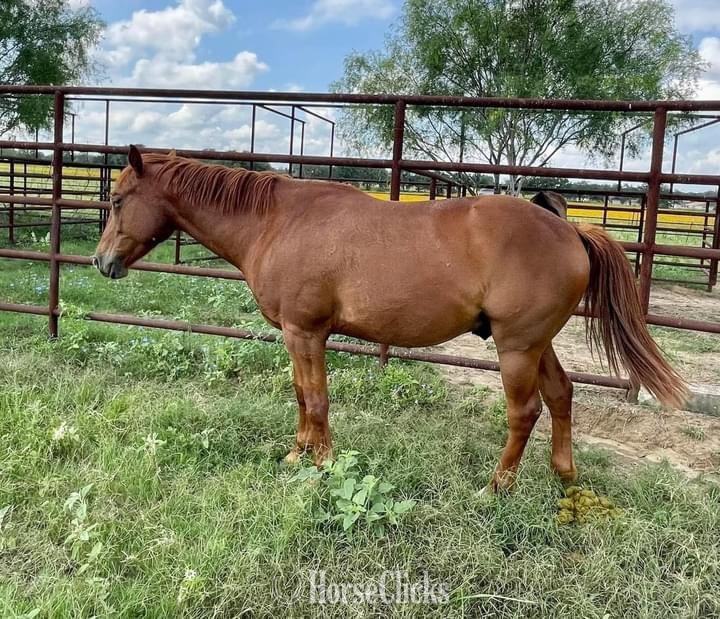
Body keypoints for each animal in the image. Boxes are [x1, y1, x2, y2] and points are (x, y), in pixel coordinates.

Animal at [93, 146, 687, 492]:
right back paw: (564, 478)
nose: (102, 262)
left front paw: (321, 463)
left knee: (526, 412)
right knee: (562, 397)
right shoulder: (296, 336)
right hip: (537, 345)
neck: (277, 221)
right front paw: (296, 454)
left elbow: (316, 399)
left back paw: (496, 486)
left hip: (516, 348)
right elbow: (300, 395)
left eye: (118, 200)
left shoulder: (305, 332)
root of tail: (568, 229)